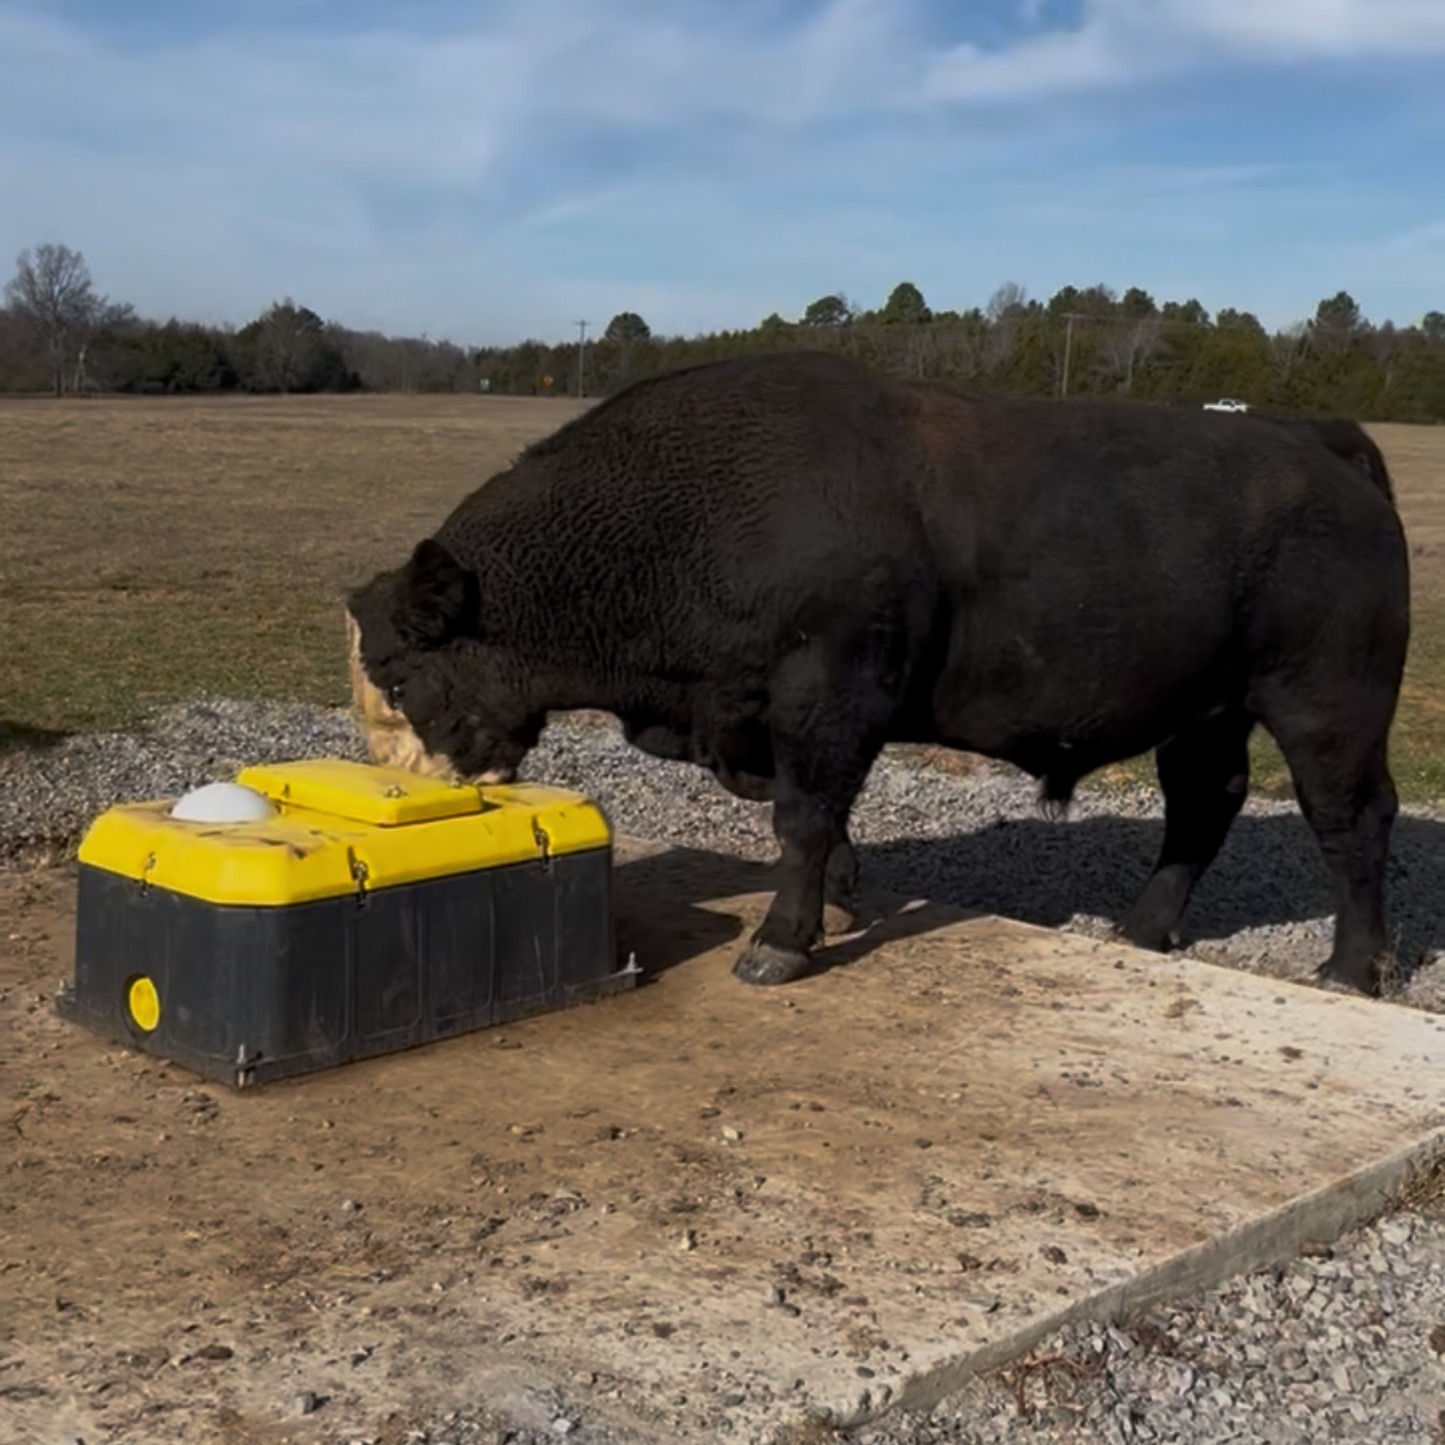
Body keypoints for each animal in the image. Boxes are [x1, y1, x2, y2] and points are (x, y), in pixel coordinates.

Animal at [345, 351, 1410, 996]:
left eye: (398, 679)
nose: (409, 786)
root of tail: (1311, 437)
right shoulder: (755, 715)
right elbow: (803, 809)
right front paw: (842, 893)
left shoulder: (830, 690)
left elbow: (803, 814)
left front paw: (781, 940)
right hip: (1208, 708)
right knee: (1203, 802)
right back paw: (1141, 930)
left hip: (1326, 705)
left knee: (1350, 820)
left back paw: (1349, 969)